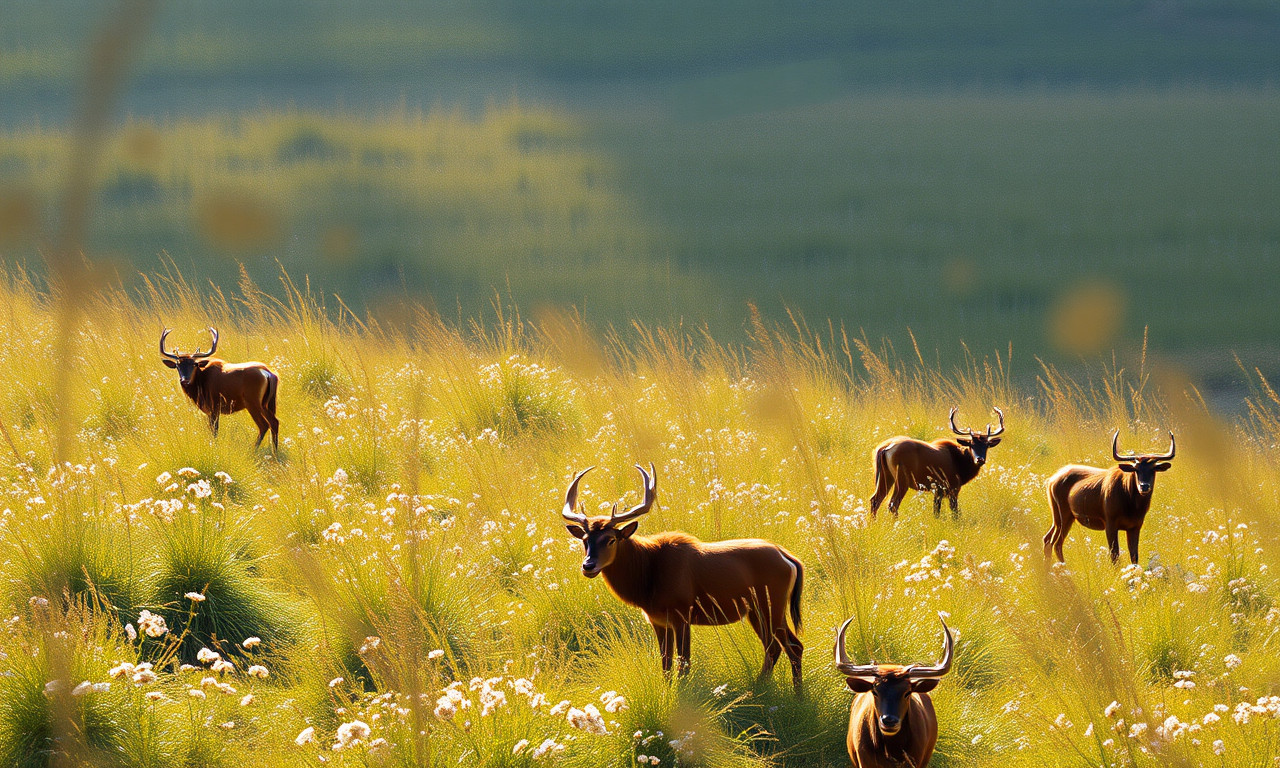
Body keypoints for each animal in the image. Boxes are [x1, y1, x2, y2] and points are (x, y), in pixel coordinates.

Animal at [865, 404, 1003, 519]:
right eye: (971, 444)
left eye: (986, 445)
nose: (980, 459)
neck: (960, 465)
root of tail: (885, 448)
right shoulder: (951, 487)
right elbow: (954, 512)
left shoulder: (938, 490)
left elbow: (936, 511)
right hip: (902, 477)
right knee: (893, 503)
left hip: (885, 476)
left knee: (875, 500)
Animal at [1044, 432, 1172, 563]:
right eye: (1136, 469)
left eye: (1153, 469)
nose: (1144, 486)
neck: (1131, 506)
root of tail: (1051, 480)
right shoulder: (1109, 522)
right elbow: (1115, 555)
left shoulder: (1136, 525)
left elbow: (1134, 556)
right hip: (1064, 514)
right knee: (1056, 543)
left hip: (1058, 516)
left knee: (1047, 539)